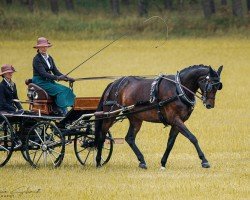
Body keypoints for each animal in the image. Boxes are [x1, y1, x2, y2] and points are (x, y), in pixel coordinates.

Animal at [95, 64, 223, 169]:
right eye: (210, 85)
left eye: (218, 87)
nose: (210, 105)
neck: (179, 90)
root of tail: (114, 84)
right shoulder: (175, 119)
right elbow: (192, 137)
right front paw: (204, 160)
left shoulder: (178, 122)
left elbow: (170, 142)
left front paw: (163, 163)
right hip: (110, 115)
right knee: (102, 136)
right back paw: (98, 162)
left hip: (135, 118)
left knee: (129, 138)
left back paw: (142, 161)